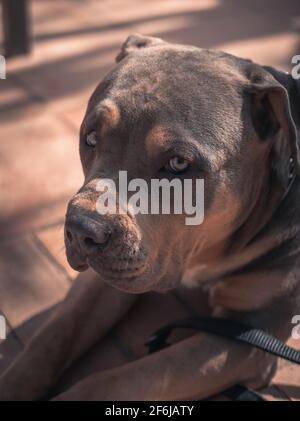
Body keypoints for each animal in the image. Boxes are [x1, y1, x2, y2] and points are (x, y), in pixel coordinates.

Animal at [0, 34, 300, 398]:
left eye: (179, 163)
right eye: (90, 138)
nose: (80, 229)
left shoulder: (247, 336)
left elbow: (112, 381)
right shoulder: (108, 278)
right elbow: (54, 335)